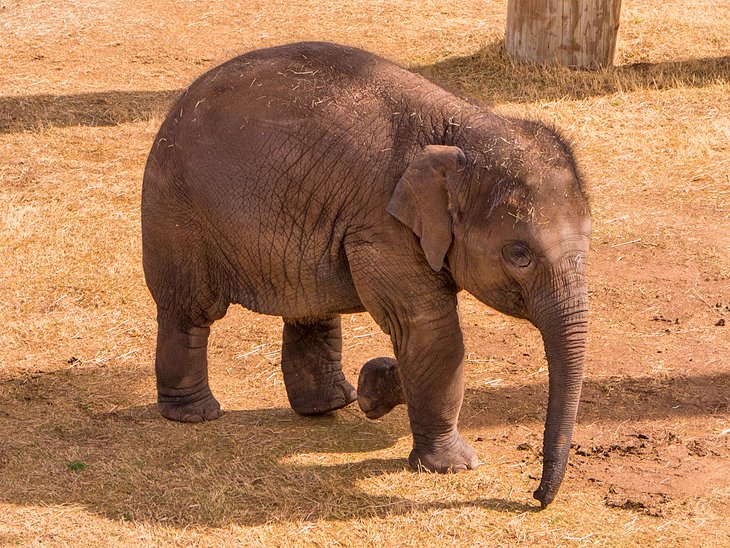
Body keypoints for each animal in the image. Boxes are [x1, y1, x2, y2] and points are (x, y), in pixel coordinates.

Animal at [144, 40, 592, 508]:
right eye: (519, 254)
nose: (536, 497)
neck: (462, 127)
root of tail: (176, 108)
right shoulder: (383, 227)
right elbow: (429, 329)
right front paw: (455, 465)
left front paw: (374, 386)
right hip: (177, 214)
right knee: (190, 311)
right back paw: (196, 414)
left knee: (311, 307)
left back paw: (332, 404)